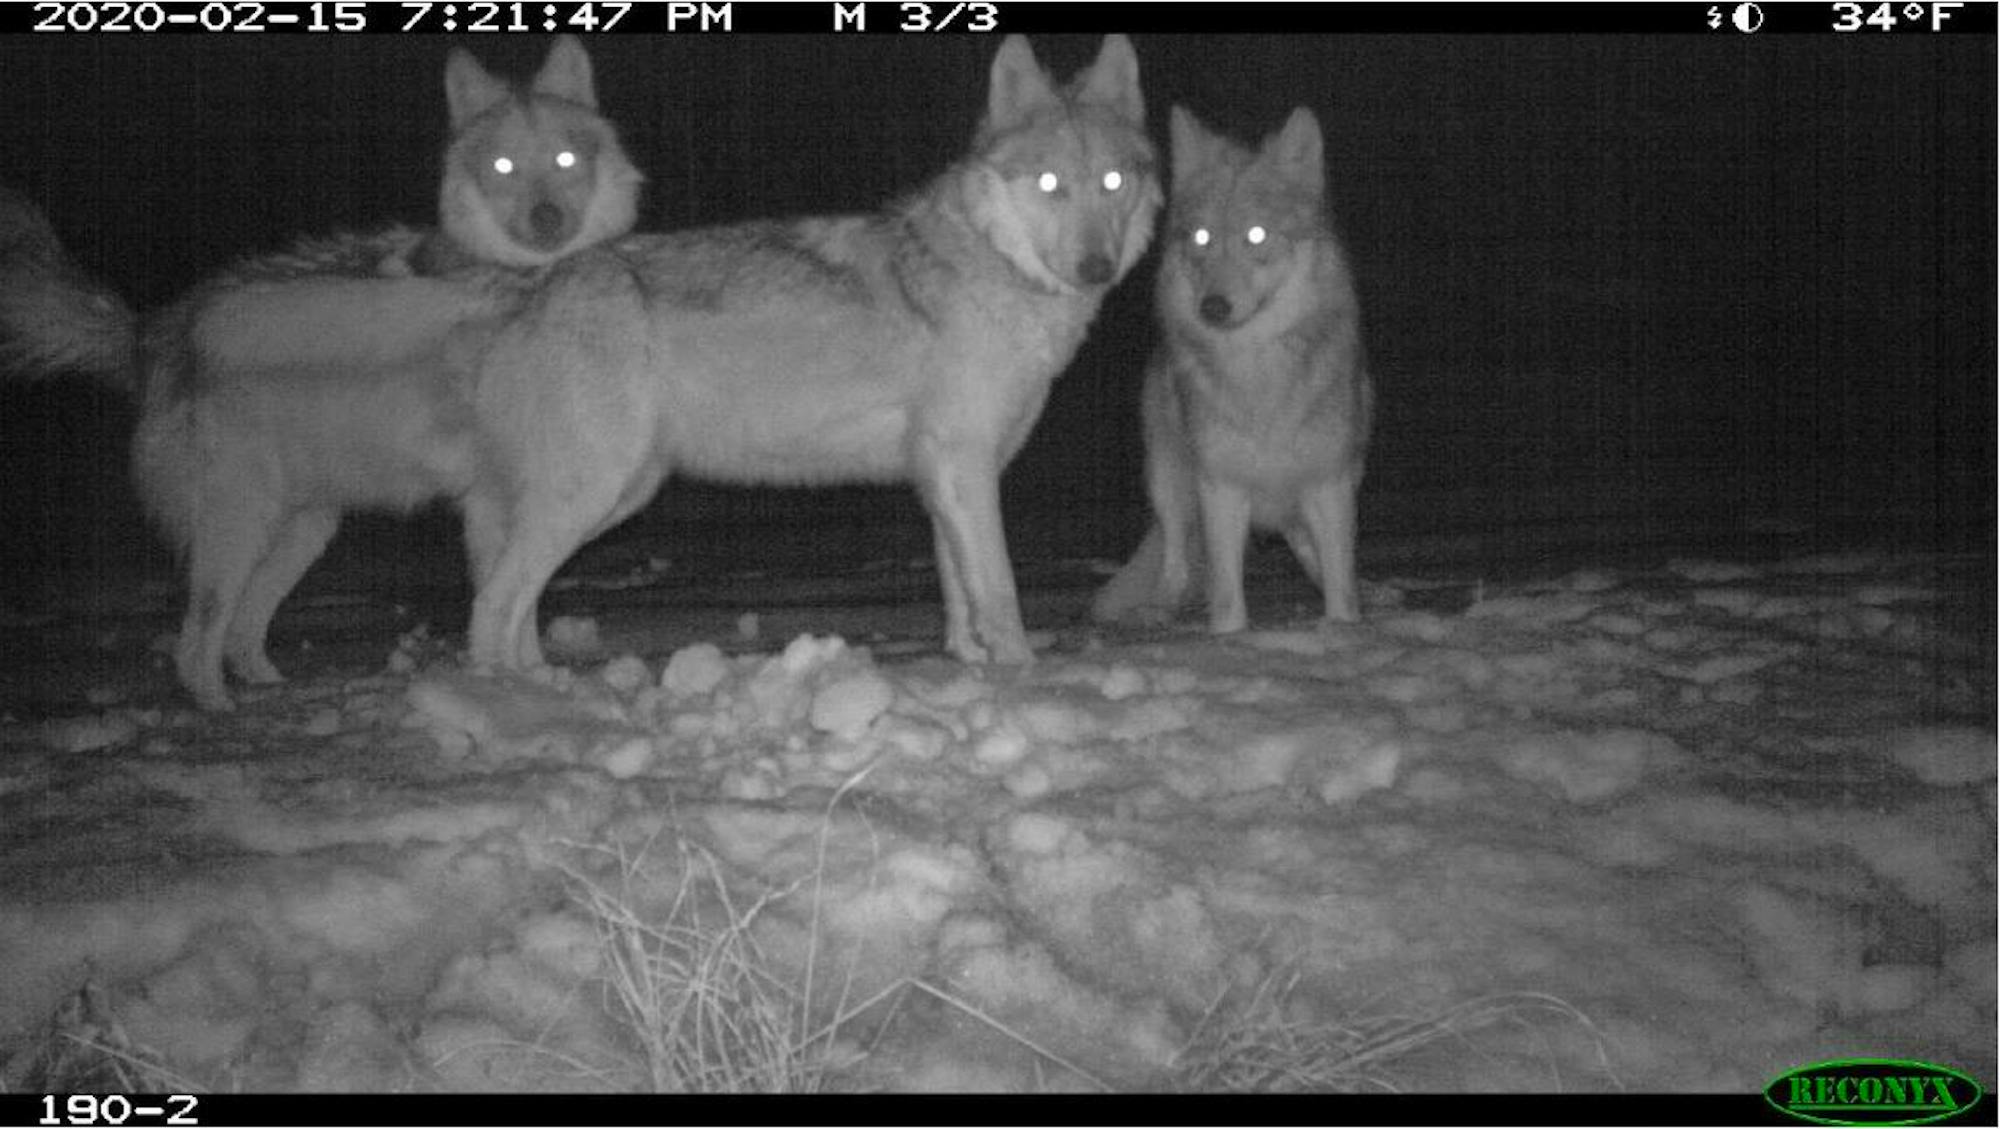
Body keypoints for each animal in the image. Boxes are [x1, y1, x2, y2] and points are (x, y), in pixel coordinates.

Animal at [0, 37, 636, 712]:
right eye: (504, 167)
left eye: (566, 158)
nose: (547, 218)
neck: (519, 280)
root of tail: (155, 335)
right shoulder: (495, 501)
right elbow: (509, 602)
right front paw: (523, 688)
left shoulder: (501, 502)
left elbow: (519, 606)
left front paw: (532, 680)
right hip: (238, 531)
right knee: (196, 641)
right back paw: (220, 709)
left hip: (301, 533)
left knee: (242, 630)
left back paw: (268, 686)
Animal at [462, 33, 1168, 668]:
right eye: (1050, 183)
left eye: (1112, 181)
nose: (1097, 267)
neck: (991, 268)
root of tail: (530, 286)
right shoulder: (964, 464)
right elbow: (997, 591)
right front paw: (1020, 674)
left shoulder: (946, 474)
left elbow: (959, 592)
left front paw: (971, 665)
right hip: (591, 492)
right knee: (493, 603)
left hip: (618, 493)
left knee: (511, 606)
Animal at [1096, 106, 1376, 636]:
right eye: (1201, 238)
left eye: (1257, 236)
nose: (1213, 307)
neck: (1257, 375)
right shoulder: (1220, 489)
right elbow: (1225, 597)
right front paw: (1228, 641)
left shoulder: (1328, 482)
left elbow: (1340, 583)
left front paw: (1343, 626)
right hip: (1166, 480)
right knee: (1176, 560)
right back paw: (1157, 610)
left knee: (1315, 552)